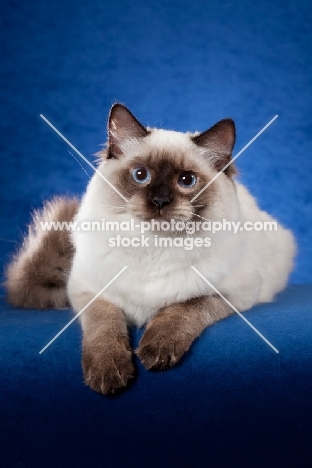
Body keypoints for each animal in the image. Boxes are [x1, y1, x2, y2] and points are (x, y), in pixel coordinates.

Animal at [5, 103, 298, 394]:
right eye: (140, 175)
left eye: (187, 180)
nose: (160, 201)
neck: (153, 245)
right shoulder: (89, 292)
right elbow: (104, 326)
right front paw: (108, 372)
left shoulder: (232, 294)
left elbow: (185, 308)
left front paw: (155, 350)